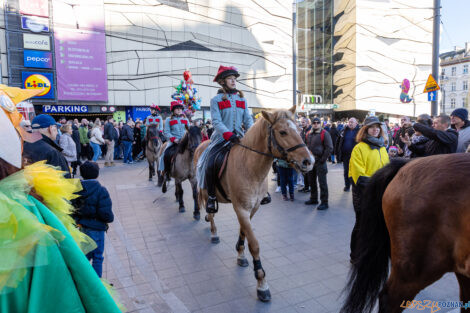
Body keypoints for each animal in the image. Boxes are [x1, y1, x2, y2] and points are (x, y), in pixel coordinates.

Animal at [193, 106, 314, 302]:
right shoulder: (241, 208)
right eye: (282, 132)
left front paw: (240, 254)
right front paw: (261, 282)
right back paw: (213, 232)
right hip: (204, 189)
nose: (309, 161)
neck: (249, 166)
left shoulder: (252, 208)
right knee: (209, 210)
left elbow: (244, 232)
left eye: (299, 128)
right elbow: (255, 244)